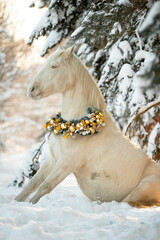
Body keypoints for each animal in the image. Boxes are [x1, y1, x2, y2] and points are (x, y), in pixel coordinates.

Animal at [14, 46, 160, 206]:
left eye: (54, 66)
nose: (31, 89)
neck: (76, 125)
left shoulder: (67, 163)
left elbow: (45, 186)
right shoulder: (52, 160)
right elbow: (32, 183)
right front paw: (15, 201)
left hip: (141, 188)